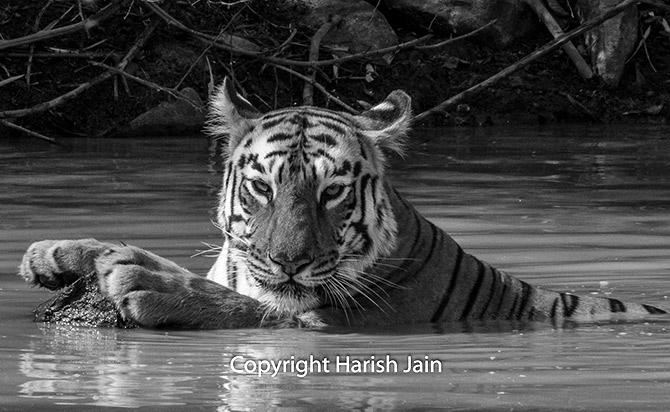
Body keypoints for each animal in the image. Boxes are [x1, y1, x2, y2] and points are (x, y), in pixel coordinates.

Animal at [18, 77, 668, 328]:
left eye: (331, 192)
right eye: (262, 187)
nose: (289, 262)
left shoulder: (331, 322)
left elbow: (242, 306)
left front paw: (142, 281)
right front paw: (56, 251)